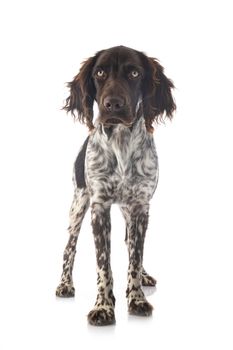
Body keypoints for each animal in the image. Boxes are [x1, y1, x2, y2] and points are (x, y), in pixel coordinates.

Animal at [56, 45, 176, 326]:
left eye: (134, 73)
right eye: (99, 73)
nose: (113, 104)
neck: (121, 144)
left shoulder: (141, 207)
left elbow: (135, 257)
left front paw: (137, 298)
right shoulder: (99, 207)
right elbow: (103, 264)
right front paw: (103, 306)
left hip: (127, 210)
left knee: (130, 244)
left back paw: (144, 276)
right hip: (78, 204)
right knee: (69, 247)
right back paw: (65, 284)